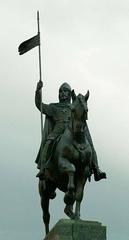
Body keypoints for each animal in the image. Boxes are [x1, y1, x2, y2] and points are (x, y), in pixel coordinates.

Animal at [38, 91, 92, 235]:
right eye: (72, 109)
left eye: (86, 110)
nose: (79, 129)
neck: (78, 141)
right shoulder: (63, 162)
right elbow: (71, 169)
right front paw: (68, 196)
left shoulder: (84, 171)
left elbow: (79, 195)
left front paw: (78, 217)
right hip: (44, 192)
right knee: (46, 215)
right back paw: (47, 233)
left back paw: (70, 212)